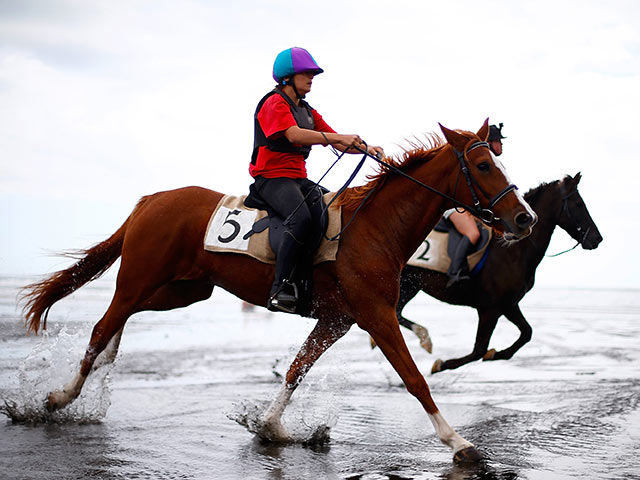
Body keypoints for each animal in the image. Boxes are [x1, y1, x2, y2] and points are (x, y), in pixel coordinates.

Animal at [21, 121, 536, 464]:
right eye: (483, 164)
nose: (524, 218)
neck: (373, 227)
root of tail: (152, 201)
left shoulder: (337, 320)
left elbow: (295, 371)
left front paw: (271, 427)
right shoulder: (378, 316)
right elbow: (415, 380)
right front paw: (458, 442)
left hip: (185, 290)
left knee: (120, 321)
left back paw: (106, 360)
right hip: (140, 279)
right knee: (102, 324)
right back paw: (60, 397)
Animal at [392, 174, 604, 374]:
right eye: (579, 204)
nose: (597, 238)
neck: (514, 251)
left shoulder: (508, 304)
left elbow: (527, 333)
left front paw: (497, 354)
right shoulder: (490, 309)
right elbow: (478, 350)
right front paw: (442, 364)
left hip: (410, 286)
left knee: (398, 312)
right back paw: (424, 339)